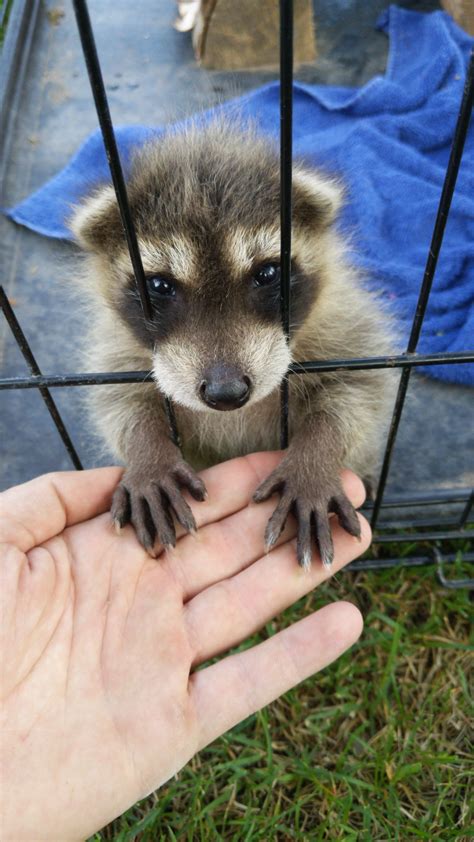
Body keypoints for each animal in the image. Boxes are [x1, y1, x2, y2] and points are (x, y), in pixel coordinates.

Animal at [70, 118, 394, 568]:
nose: (226, 393)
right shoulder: (119, 346)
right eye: (159, 285)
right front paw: (148, 453)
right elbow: (120, 401)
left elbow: (359, 389)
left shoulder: (343, 322)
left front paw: (314, 458)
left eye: (267, 274)